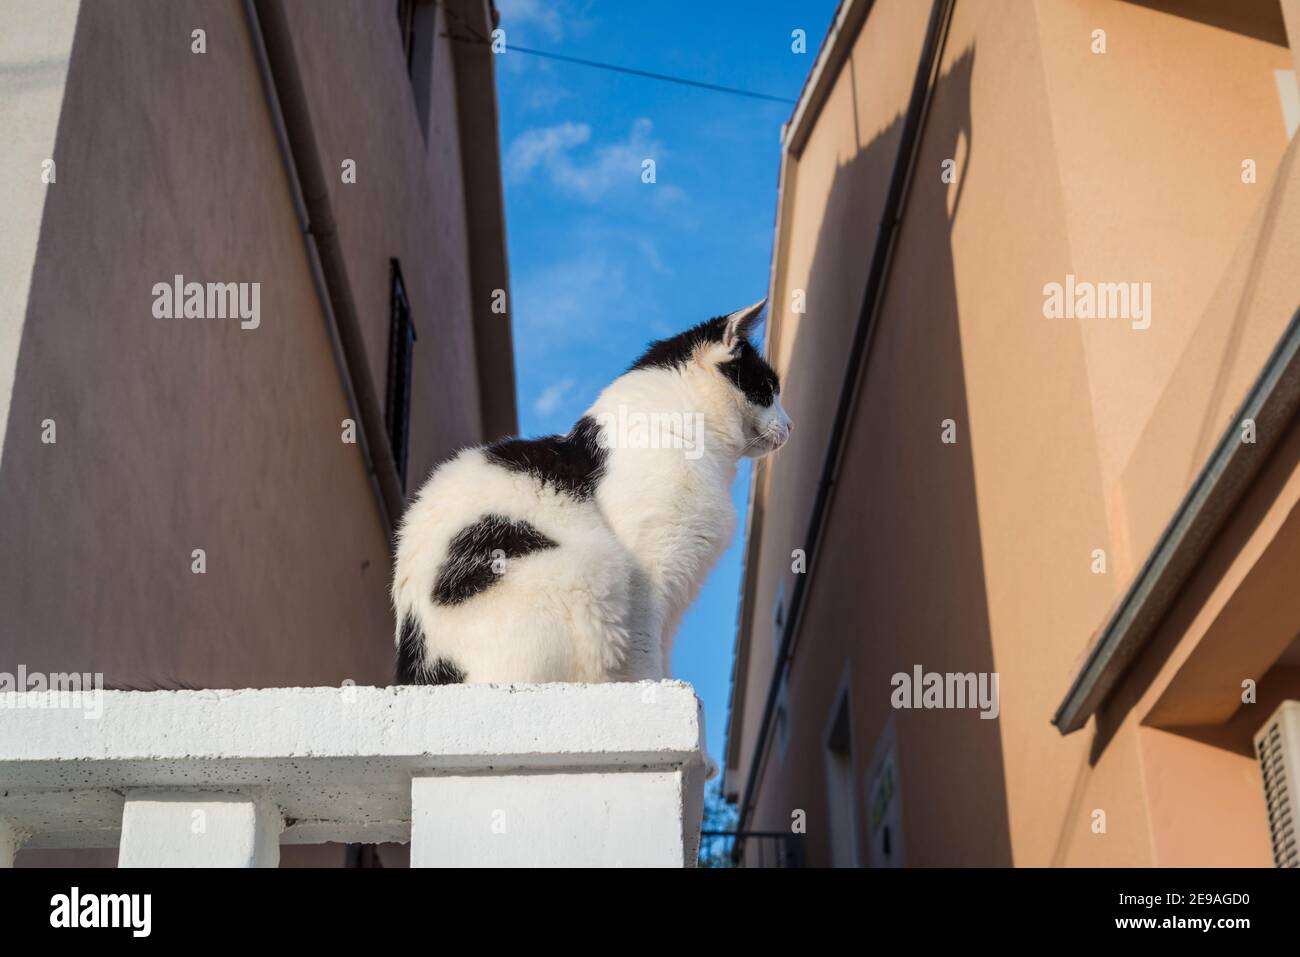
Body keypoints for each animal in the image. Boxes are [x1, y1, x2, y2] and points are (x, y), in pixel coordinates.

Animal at [390, 302, 785, 686]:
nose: (791, 425)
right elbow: (646, 654)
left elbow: (664, 649)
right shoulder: (648, 578)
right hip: (584, 572)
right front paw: (651, 687)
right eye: (768, 387)